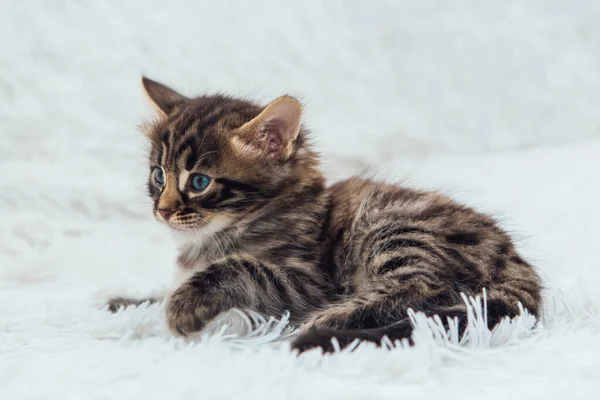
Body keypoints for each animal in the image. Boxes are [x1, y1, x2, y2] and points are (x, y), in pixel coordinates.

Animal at [108, 78, 544, 354]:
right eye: (158, 175)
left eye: (199, 181)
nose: (162, 210)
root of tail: (522, 275)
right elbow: (164, 288)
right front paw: (128, 301)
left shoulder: (306, 280)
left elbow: (240, 268)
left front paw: (183, 306)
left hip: (396, 230)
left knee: (423, 292)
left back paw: (325, 323)